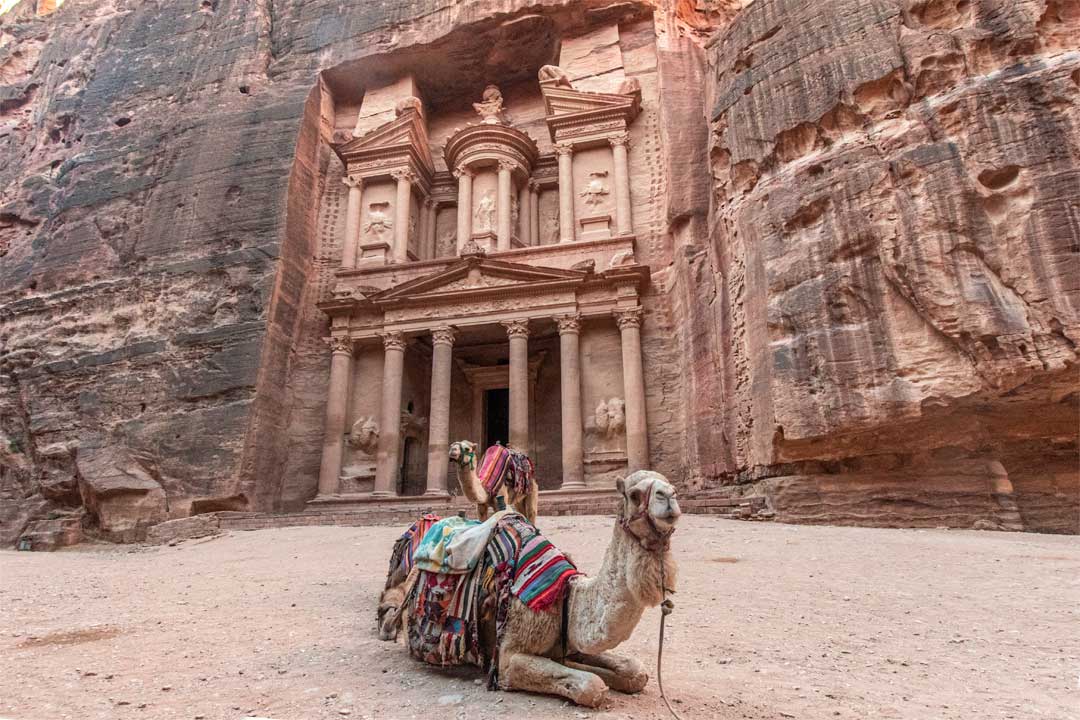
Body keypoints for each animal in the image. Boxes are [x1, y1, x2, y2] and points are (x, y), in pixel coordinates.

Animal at [397, 470, 682, 708]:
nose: (669, 496)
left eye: (670, 484)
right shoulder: (510, 656)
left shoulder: (570, 642)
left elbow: (635, 672)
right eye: (634, 495)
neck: (567, 597)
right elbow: (591, 686)